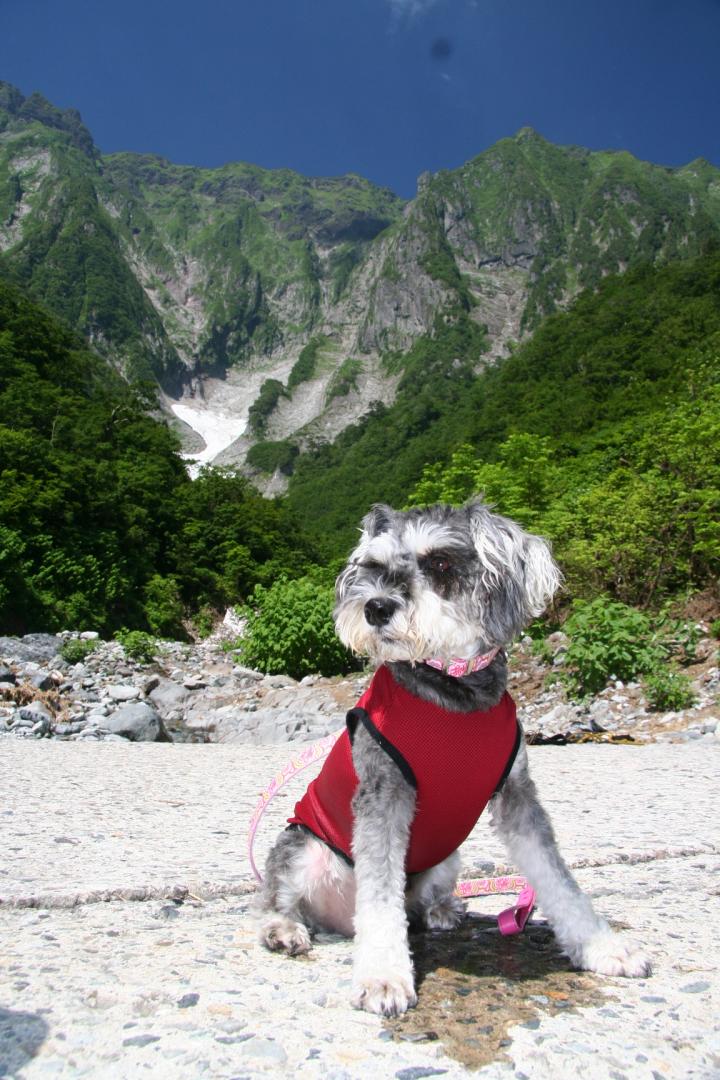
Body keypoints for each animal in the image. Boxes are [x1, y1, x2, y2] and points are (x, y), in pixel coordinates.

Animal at [255, 501, 651, 1015]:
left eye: (440, 563)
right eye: (375, 566)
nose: (375, 607)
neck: (454, 689)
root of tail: (340, 921)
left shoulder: (518, 798)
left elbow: (559, 879)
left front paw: (603, 947)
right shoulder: (384, 798)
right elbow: (378, 896)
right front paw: (383, 976)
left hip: (447, 858)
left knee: (417, 903)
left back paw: (442, 909)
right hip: (301, 847)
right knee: (279, 899)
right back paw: (284, 929)